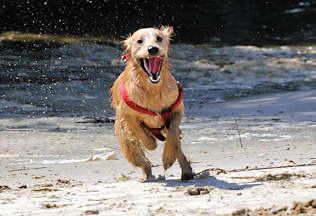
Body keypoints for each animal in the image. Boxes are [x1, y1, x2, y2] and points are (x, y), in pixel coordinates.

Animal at [111, 26, 195, 182]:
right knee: (138, 156)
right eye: (139, 41)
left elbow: (173, 134)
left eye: (159, 38)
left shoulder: (177, 109)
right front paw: (151, 143)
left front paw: (168, 158)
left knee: (177, 147)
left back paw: (186, 171)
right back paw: (146, 171)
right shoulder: (127, 114)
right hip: (125, 139)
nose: (153, 49)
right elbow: (140, 133)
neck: (152, 89)